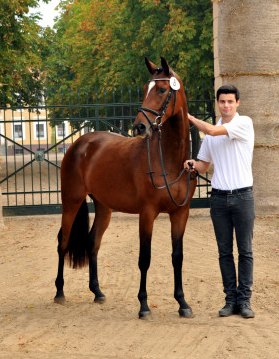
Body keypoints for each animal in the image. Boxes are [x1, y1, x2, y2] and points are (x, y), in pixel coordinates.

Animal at [54, 57, 198, 320]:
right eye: (144, 89)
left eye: (162, 89)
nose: (139, 126)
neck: (169, 160)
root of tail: (79, 144)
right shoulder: (147, 213)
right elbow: (145, 258)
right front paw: (144, 306)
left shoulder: (180, 213)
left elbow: (178, 257)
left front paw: (182, 303)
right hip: (71, 201)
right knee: (63, 241)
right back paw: (59, 292)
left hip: (104, 207)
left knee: (93, 242)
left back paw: (97, 292)